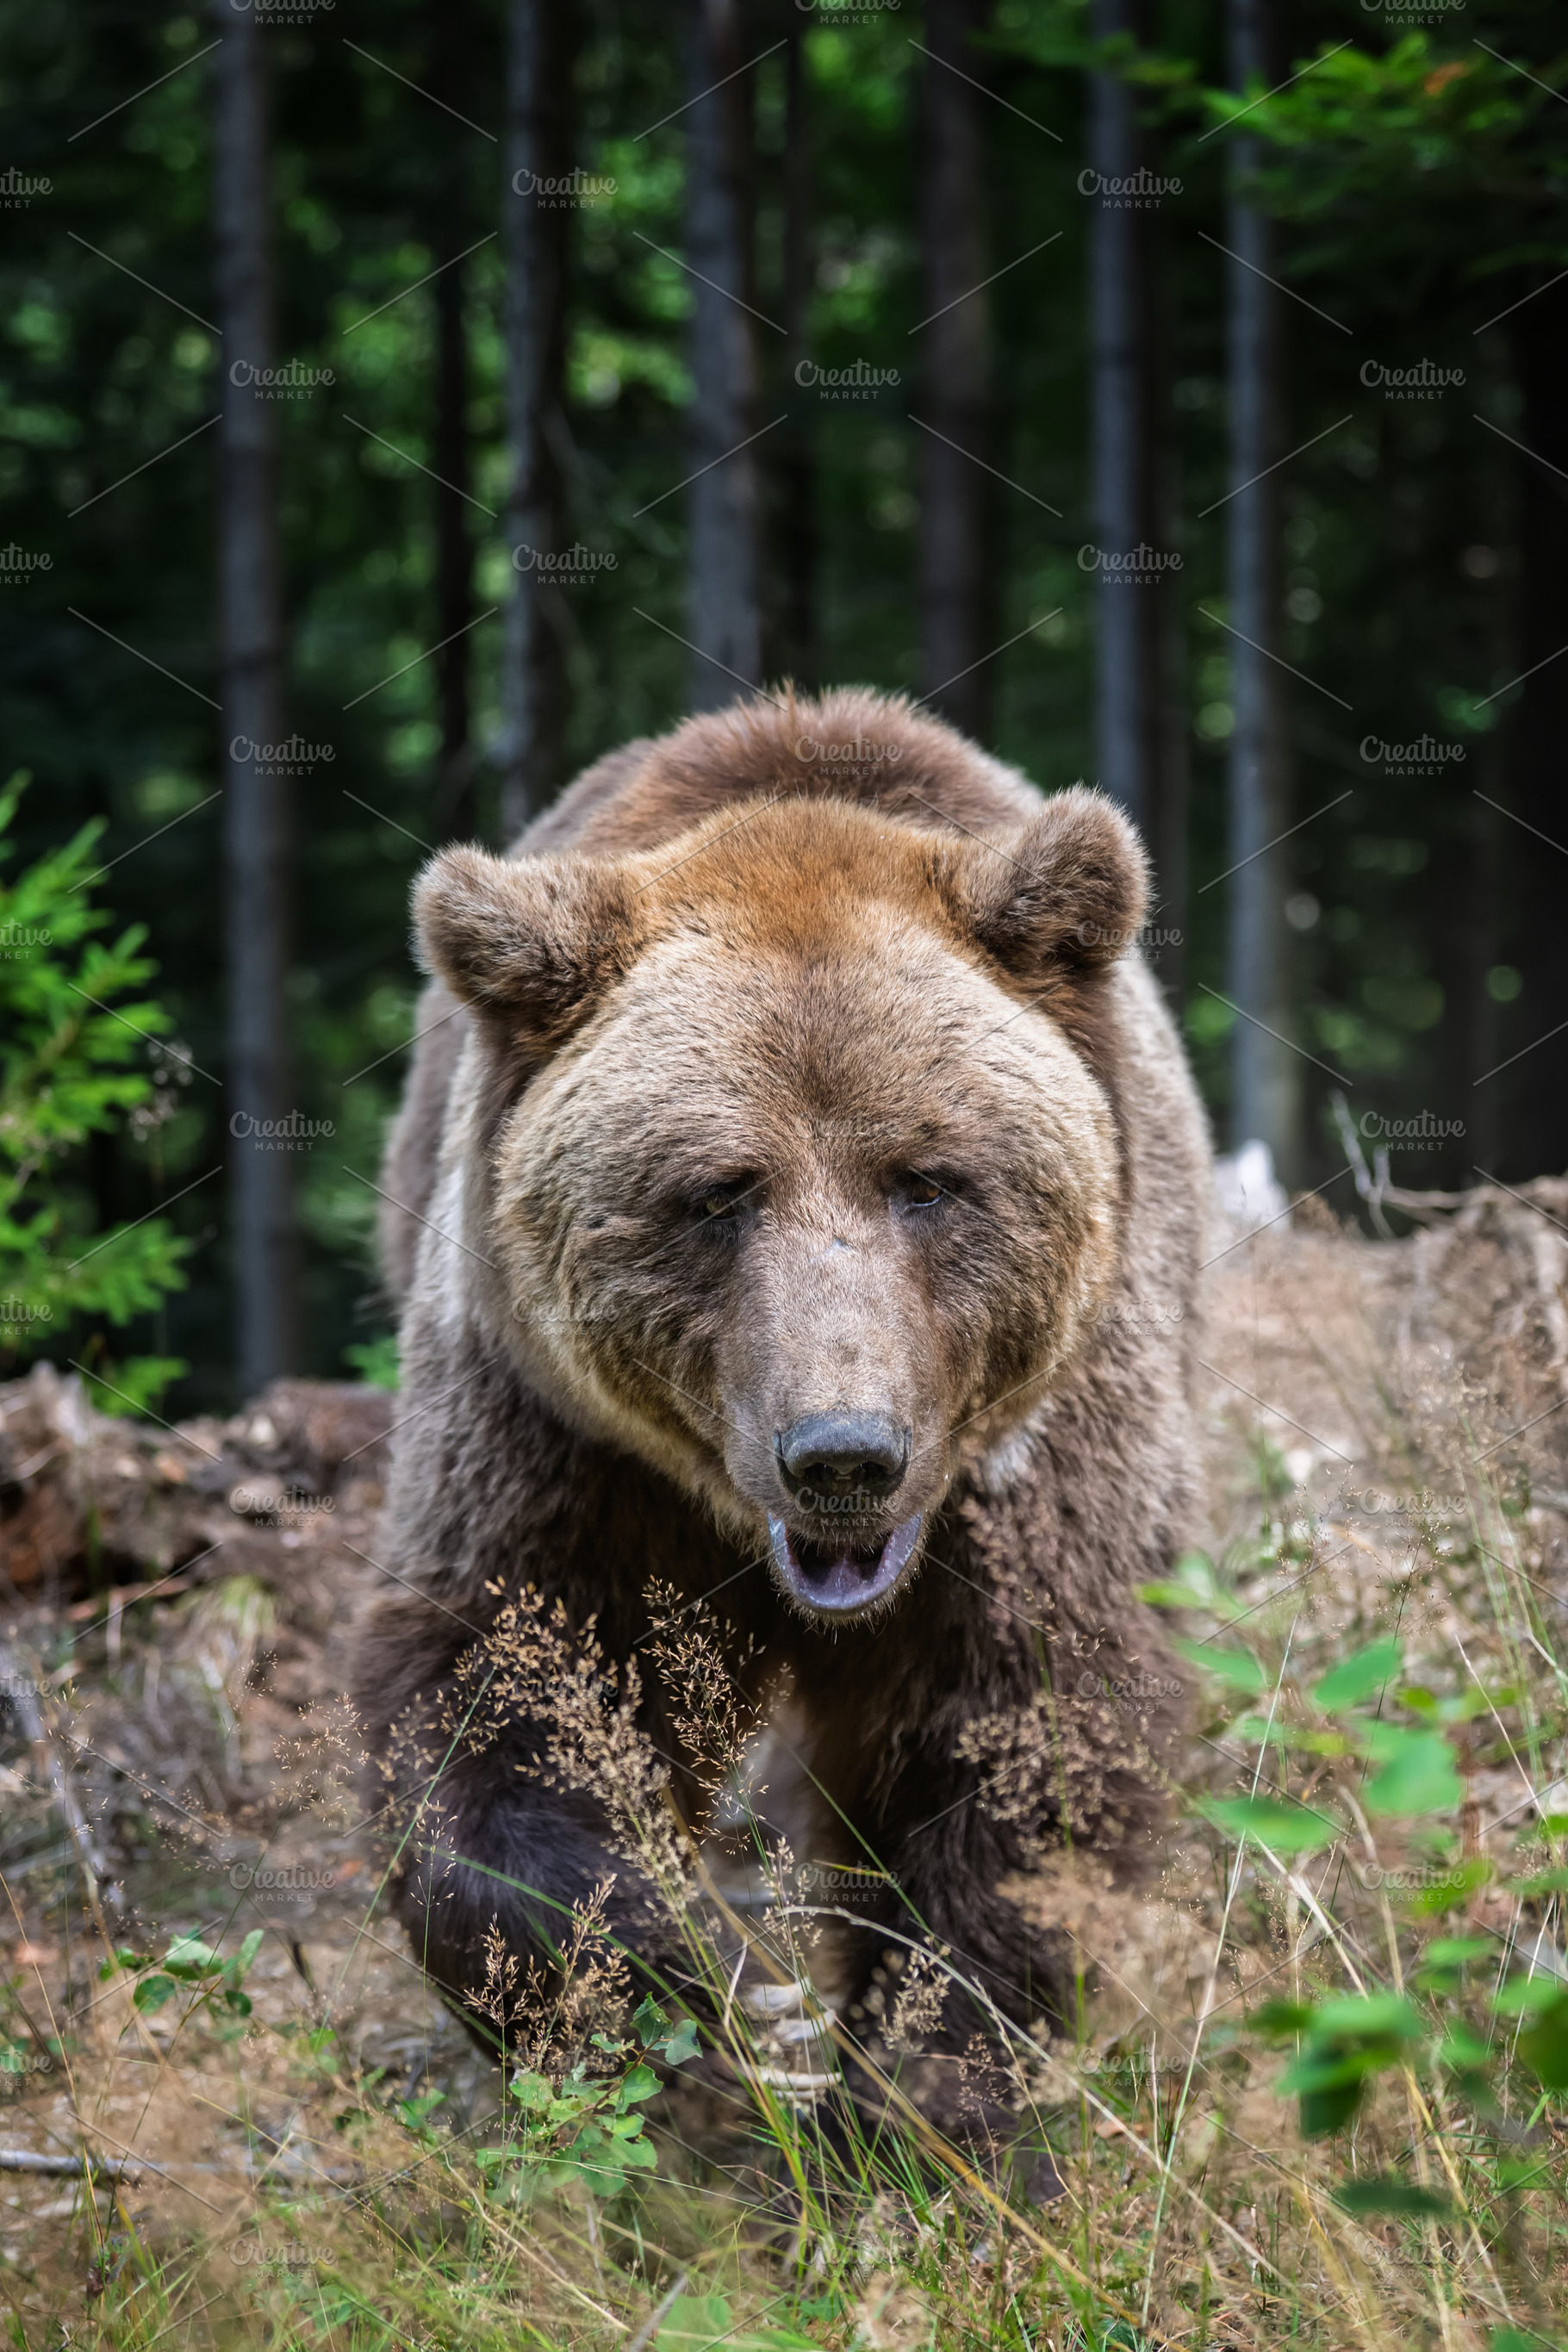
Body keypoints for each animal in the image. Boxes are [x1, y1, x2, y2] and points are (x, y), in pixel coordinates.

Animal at [355, 687, 1211, 2145]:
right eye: (717, 1190)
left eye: (929, 1178)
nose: (844, 1455)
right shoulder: (556, 1441)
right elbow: (492, 1697)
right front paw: (678, 1995)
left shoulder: (1044, 1458)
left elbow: (1029, 1745)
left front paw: (924, 2097)